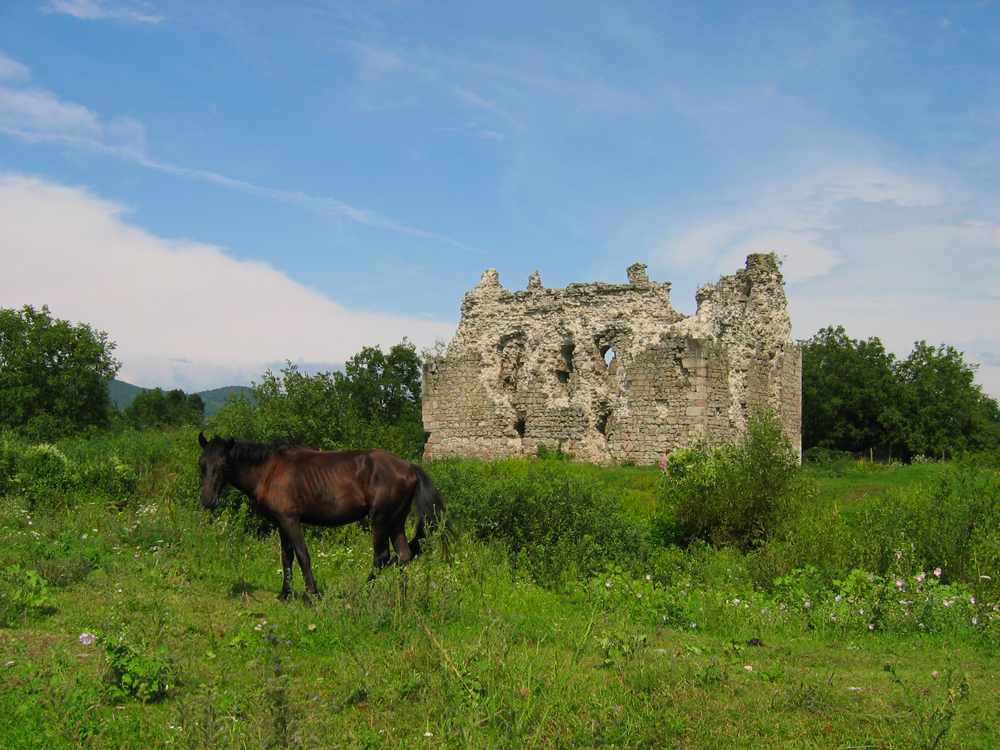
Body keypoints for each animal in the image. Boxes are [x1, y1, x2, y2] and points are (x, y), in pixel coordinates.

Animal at [195, 434, 446, 604]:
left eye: (224, 464)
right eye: (201, 463)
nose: (208, 500)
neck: (269, 470)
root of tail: (409, 467)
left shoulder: (290, 520)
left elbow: (302, 556)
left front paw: (310, 595)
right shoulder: (281, 523)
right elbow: (286, 558)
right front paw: (284, 594)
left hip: (380, 521)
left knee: (382, 558)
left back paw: (361, 593)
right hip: (396, 522)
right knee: (404, 556)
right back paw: (401, 596)